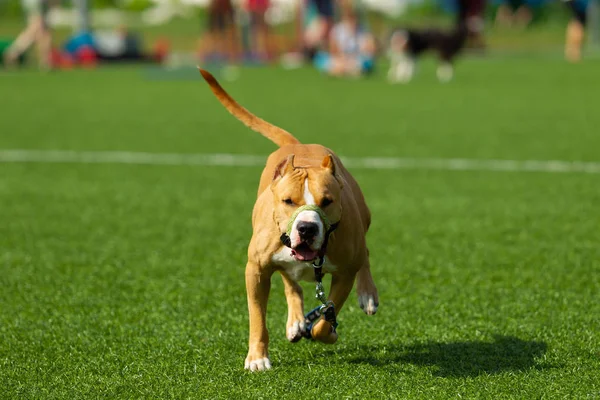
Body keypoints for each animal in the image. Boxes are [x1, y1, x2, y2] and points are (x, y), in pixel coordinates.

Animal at [199, 69, 378, 372]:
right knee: (291, 283)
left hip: (362, 219)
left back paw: (367, 294)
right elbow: (257, 318)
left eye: (327, 201)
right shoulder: (256, 270)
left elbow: (328, 312)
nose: (306, 228)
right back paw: (295, 321)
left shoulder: (344, 273)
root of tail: (298, 145)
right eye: (288, 201)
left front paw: (327, 332)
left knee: (363, 252)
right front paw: (257, 358)